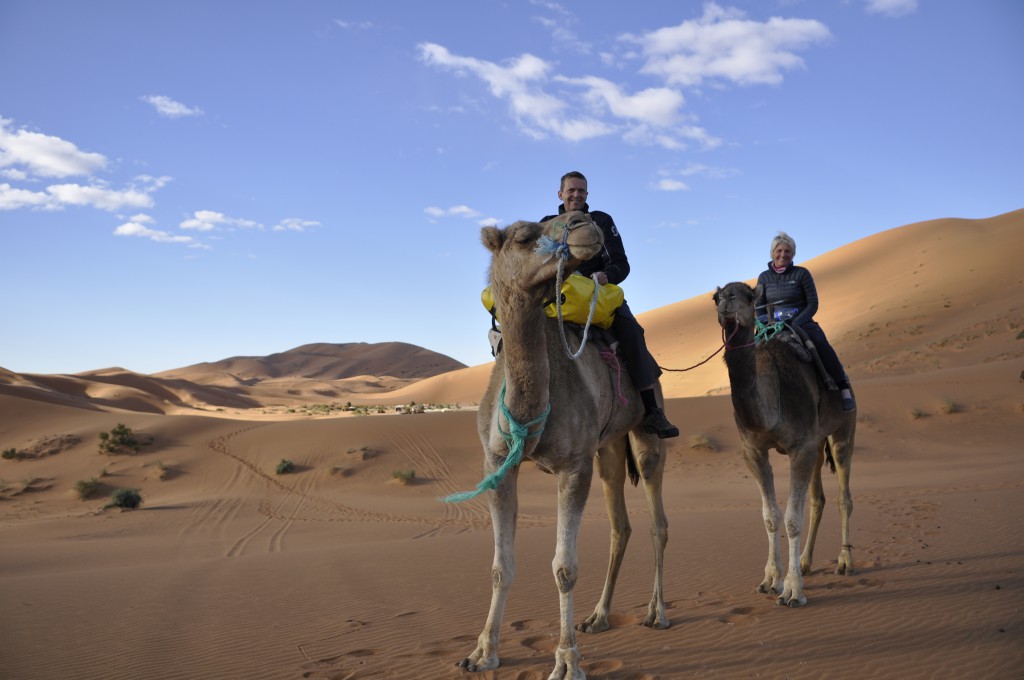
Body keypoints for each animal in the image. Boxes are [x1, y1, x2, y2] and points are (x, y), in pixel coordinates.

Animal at [452, 209, 667, 675]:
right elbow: (500, 566)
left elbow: (564, 568)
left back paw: (657, 612)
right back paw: (598, 616)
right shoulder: (498, 465)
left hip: (646, 431)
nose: (585, 222)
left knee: (657, 520)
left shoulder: (573, 466)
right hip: (607, 449)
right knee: (620, 526)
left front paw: (567, 661)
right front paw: (482, 653)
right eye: (522, 236)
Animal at [712, 278, 856, 606]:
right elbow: (771, 516)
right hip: (817, 444)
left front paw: (792, 590)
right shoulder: (753, 451)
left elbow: (792, 519)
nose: (726, 302)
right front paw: (769, 580)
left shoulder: (799, 448)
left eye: (748, 296)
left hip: (843, 431)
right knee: (818, 499)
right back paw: (805, 562)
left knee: (844, 495)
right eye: (716, 297)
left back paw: (845, 562)